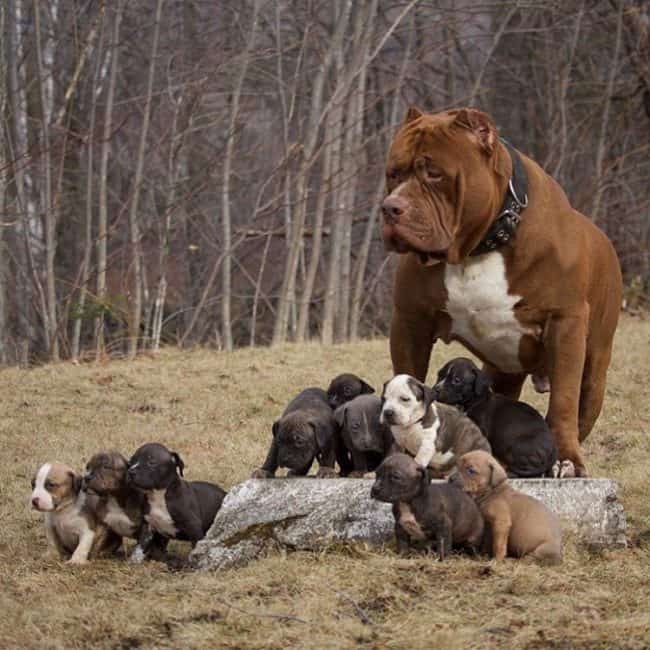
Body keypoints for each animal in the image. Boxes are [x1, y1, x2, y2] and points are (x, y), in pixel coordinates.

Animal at [430, 354, 560, 476]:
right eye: (439, 375)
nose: (436, 389)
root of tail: (553, 452)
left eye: (457, 380)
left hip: (515, 447)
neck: (472, 401)